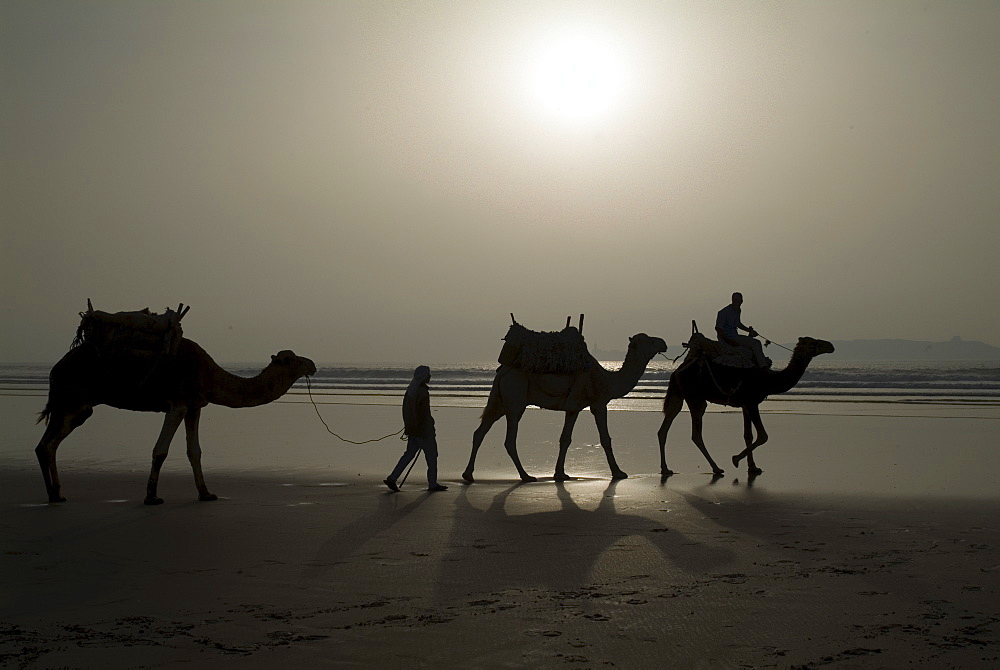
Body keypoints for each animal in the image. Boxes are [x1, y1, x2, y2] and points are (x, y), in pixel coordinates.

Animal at [34, 338, 316, 506]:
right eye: (291, 359)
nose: (313, 364)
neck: (211, 375)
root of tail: (55, 368)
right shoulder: (178, 404)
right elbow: (160, 450)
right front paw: (152, 497)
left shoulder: (194, 406)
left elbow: (195, 451)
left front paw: (206, 494)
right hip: (72, 400)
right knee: (48, 444)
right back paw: (53, 495)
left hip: (75, 406)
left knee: (46, 444)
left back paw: (56, 493)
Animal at [462, 334, 668, 484]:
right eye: (650, 340)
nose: (663, 343)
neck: (609, 380)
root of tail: (502, 372)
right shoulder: (599, 403)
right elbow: (605, 439)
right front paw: (618, 472)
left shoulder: (573, 408)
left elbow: (565, 439)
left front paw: (560, 474)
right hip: (515, 401)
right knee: (509, 440)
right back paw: (526, 476)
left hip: (499, 401)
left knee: (480, 431)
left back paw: (468, 474)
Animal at [660, 336, 832, 478]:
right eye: (814, 343)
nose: (830, 346)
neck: (769, 380)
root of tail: (676, 371)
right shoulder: (752, 402)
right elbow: (763, 435)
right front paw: (735, 459)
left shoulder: (745, 404)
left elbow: (748, 435)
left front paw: (753, 467)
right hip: (695, 397)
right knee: (696, 433)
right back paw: (716, 468)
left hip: (678, 395)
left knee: (664, 427)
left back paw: (666, 469)